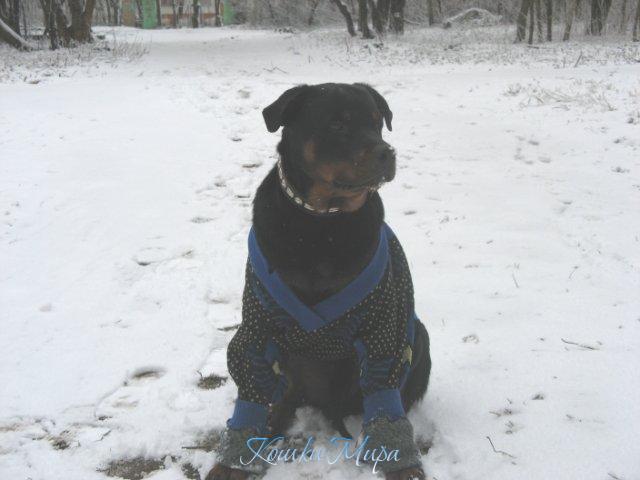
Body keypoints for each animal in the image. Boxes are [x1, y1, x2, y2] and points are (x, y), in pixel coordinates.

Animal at [207, 83, 431, 480]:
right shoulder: (258, 324)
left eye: (378, 123)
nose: (387, 152)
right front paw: (232, 461)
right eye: (337, 125)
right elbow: (251, 388)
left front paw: (402, 464)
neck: (321, 224)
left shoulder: (384, 326)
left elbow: (385, 396)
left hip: (417, 336)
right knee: (283, 394)